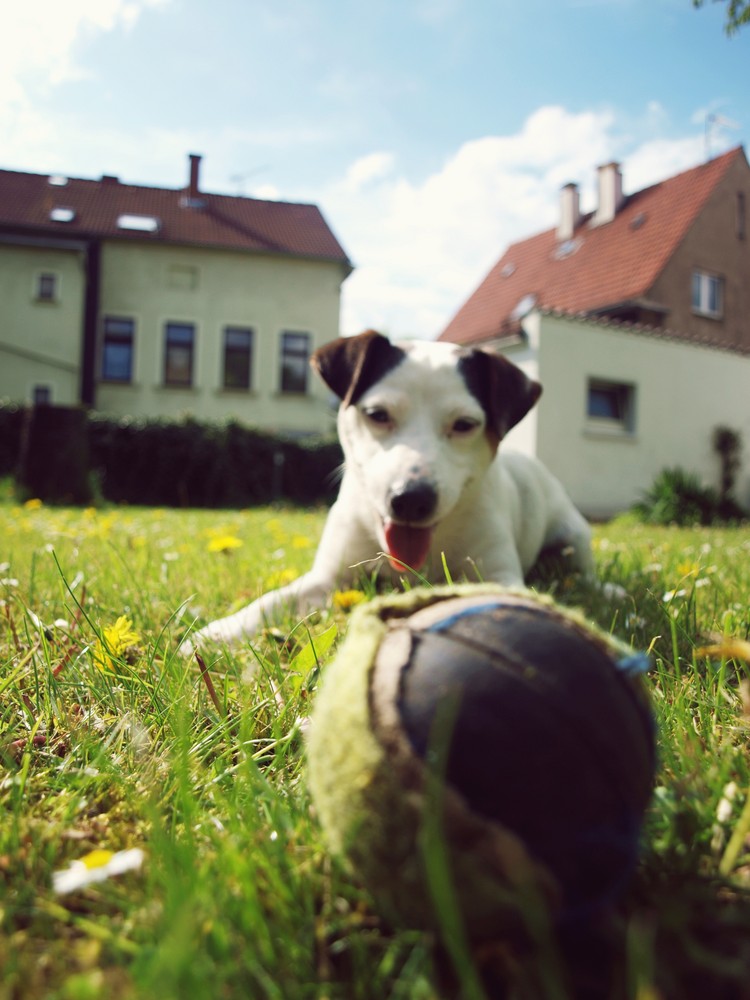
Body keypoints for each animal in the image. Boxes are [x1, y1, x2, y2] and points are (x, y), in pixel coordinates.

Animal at [182, 332, 600, 652]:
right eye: (377, 415)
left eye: (465, 424)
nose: (411, 500)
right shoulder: (328, 579)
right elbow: (270, 601)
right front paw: (218, 633)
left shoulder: (498, 572)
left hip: (573, 539)